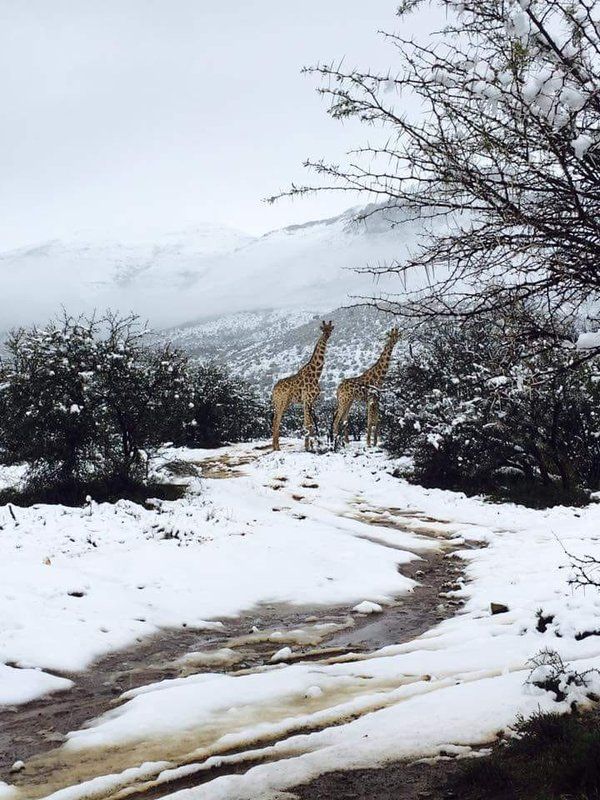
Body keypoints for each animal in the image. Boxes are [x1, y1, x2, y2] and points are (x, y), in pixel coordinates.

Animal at [270, 322, 332, 454]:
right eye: (323, 329)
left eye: (330, 329)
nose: (327, 335)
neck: (316, 374)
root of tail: (273, 390)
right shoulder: (307, 399)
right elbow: (308, 424)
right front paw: (309, 447)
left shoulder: (310, 401)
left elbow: (310, 423)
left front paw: (312, 446)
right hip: (281, 402)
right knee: (276, 420)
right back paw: (277, 447)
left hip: (281, 403)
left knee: (275, 420)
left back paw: (275, 446)